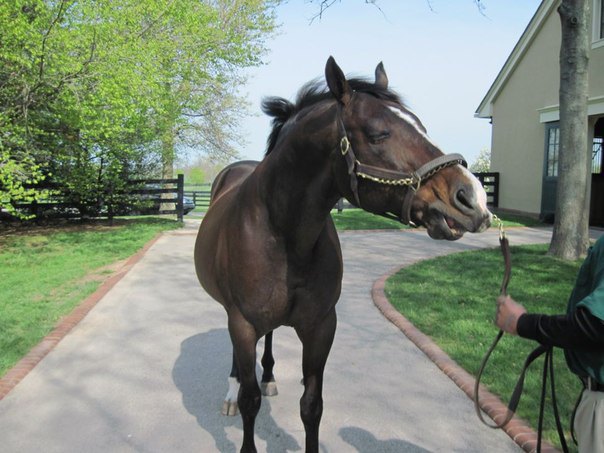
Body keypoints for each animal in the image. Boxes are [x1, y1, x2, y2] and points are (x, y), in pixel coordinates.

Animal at [196, 57, 494, 452]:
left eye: (422, 127)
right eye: (379, 133)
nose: (472, 198)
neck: (284, 236)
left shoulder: (322, 326)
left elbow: (311, 406)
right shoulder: (242, 323)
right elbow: (250, 401)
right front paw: (241, 401)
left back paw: (270, 377)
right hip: (233, 316)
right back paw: (231, 392)